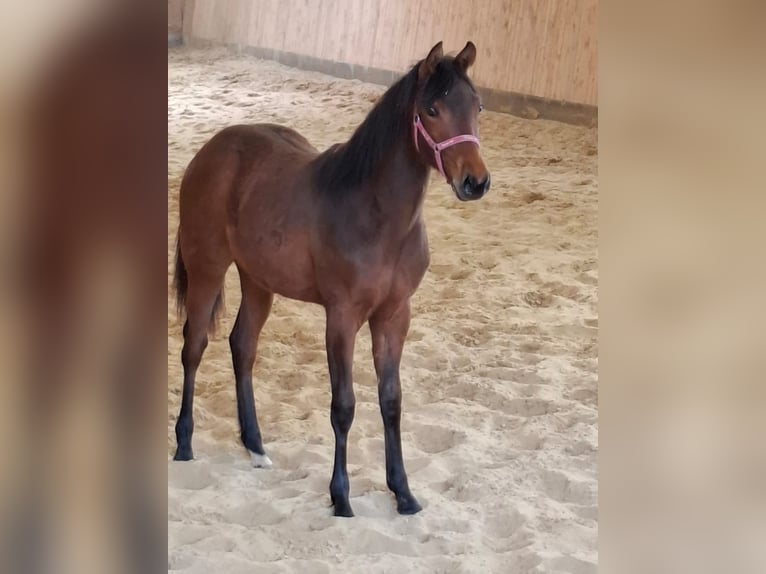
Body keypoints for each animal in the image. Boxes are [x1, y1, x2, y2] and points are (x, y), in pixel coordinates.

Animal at [172, 41, 490, 517]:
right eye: (432, 109)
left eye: (477, 106)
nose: (476, 182)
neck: (375, 214)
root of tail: (211, 149)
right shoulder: (341, 318)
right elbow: (344, 405)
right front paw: (341, 497)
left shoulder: (394, 316)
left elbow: (391, 401)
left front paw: (404, 493)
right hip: (206, 268)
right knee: (193, 347)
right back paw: (184, 443)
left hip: (258, 280)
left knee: (242, 347)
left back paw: (256, 447)